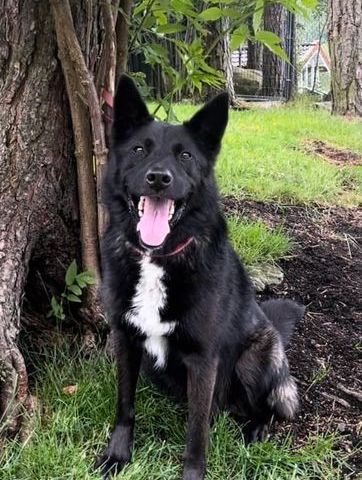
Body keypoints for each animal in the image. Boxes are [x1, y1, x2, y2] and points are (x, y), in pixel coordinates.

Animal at [97, 77, 304, 478]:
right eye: (139, 150)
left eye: (185, 157)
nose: (158, 179)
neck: (158, 257)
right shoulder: (126, 340)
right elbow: (124, 405)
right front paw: (118, 456)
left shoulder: (203, 359)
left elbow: (197, 431)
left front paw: (193, 471)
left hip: (252, 359)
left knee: (269, 408)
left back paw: (255, 430)